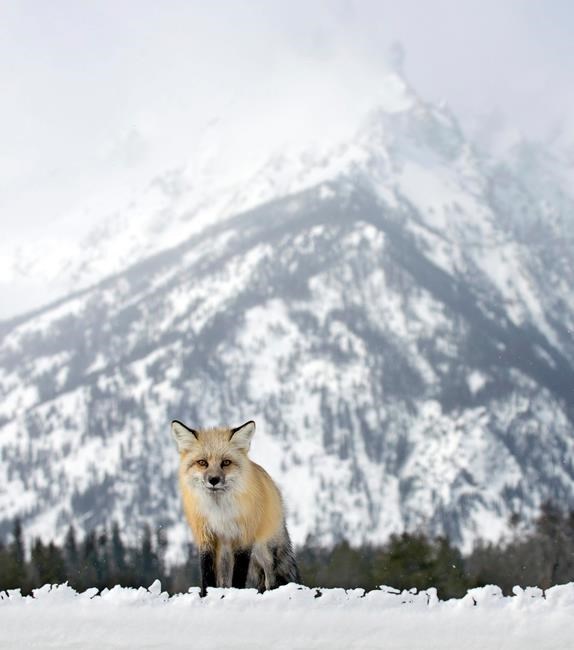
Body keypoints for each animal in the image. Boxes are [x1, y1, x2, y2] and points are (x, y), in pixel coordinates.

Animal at [170, 419, 299, 596]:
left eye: (226, 462)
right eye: (202, 463)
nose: (214, 480)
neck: (220, 512)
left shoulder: (243, 538)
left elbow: (239, 574)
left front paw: (236, 593)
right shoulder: (206, 536)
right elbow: (207, 573)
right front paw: (207, 595)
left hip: (264, 549)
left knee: (269, 576)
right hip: (225, 554)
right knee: (227, 579)